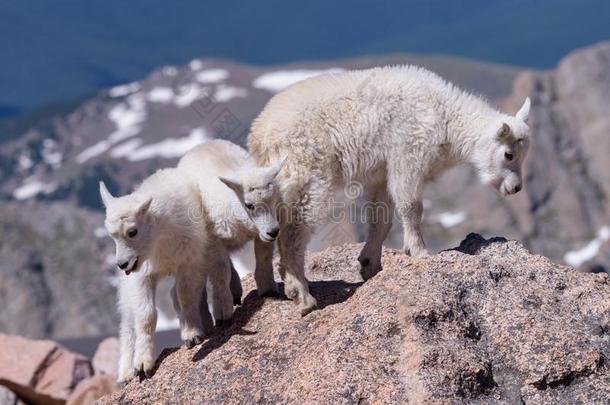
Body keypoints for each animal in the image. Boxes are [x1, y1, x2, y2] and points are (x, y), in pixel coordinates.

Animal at [98, 169, 234, 384]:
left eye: (132, 231)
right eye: (112, 236)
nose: (122, 264)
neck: (160, 238)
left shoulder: (188, 263)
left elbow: (185, 297)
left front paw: (191, 335)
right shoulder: (141, 276)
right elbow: (146, 315)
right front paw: (142, 365)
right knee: (127, 326)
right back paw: (125, 373)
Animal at [177, 139, 284, 296]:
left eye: (276, 199)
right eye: (249, 205)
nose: (274, 232)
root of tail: (200, 146)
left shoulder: (261, 234)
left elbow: (263, 257)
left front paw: (268, 289)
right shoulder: (213, 239)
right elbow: (220, 271)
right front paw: (223, 301)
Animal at [249, 64, 528, 314]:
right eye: (508, 154)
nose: (516, 188)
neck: (445, 118)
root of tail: (260, 135)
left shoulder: (381, 175)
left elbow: (380, 220)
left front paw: (369, 265)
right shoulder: (408, 155)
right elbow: (411, 207)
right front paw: (419, 252)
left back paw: (270, 287)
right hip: (306, 174)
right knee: (293, 230)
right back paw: (301, 294)